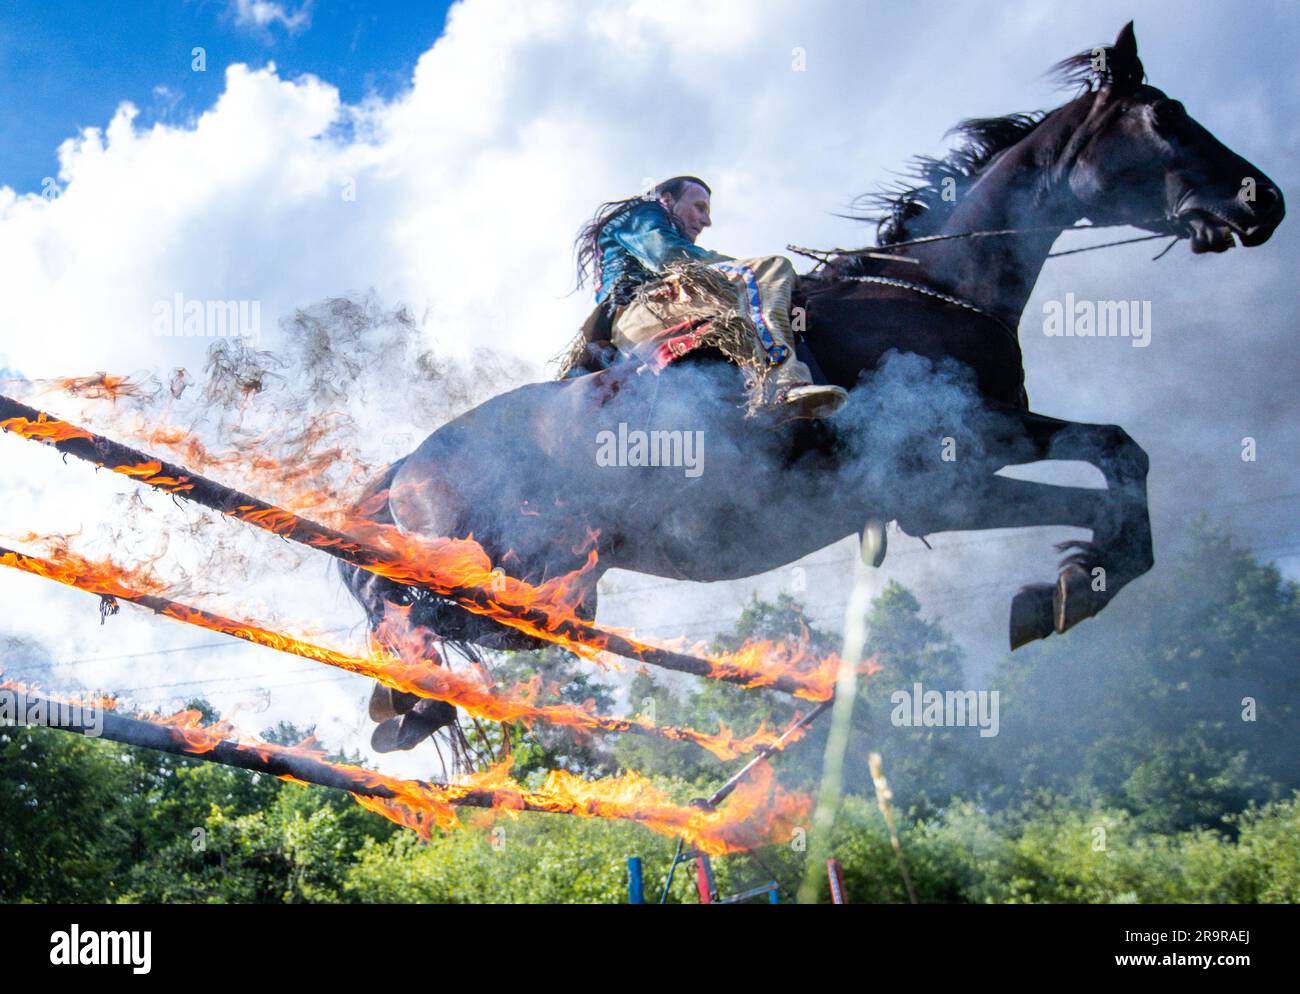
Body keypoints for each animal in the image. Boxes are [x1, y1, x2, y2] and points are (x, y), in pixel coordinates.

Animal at [340, 23, 1284, 748]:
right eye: (1162, 116)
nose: (1262, 198)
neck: (934, 288)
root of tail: (406, 468)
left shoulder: (986, 446)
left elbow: (1120, 455)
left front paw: (1076, 583)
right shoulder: (942, 483)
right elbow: (1103, 483)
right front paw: (1062, 590)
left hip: (560, 588)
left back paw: (404, 705)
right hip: (516, 570)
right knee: (405, 604)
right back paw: (406, 700)